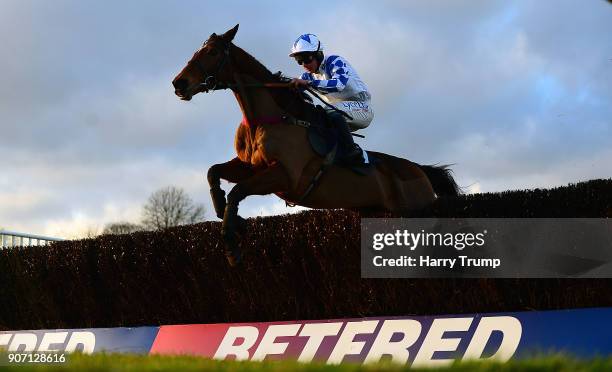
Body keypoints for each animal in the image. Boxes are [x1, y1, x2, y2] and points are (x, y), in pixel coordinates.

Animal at [172, 24, 460, 264]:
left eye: (211, 52)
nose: (178, 83)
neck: (271, 117)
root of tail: (420, 170)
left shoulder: (285, 175)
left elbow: (238, 191)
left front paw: (232, 243)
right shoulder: (251, 166)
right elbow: (214, 173)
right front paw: (229, 216)